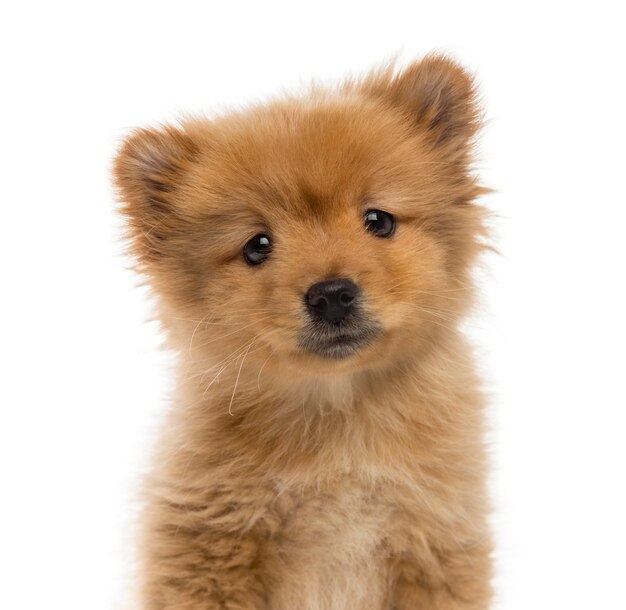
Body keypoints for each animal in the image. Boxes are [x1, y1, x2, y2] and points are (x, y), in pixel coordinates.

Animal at [113, 53, 492, 608]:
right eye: (257, 245)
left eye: (378, 220)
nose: (331, 294)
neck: (337, 421)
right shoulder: (208, 549)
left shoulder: (435, 546)